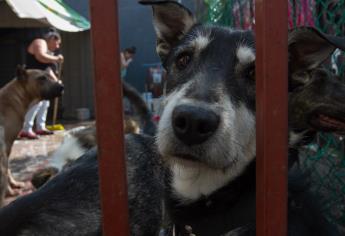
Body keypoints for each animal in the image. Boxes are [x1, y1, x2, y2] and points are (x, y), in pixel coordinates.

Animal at [0, 65, 64, 206]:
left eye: (51, 76)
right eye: (41, 78)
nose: (62, 87)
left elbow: (8, 170)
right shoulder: (6, 145)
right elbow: (6, 170)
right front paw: (10, 191)